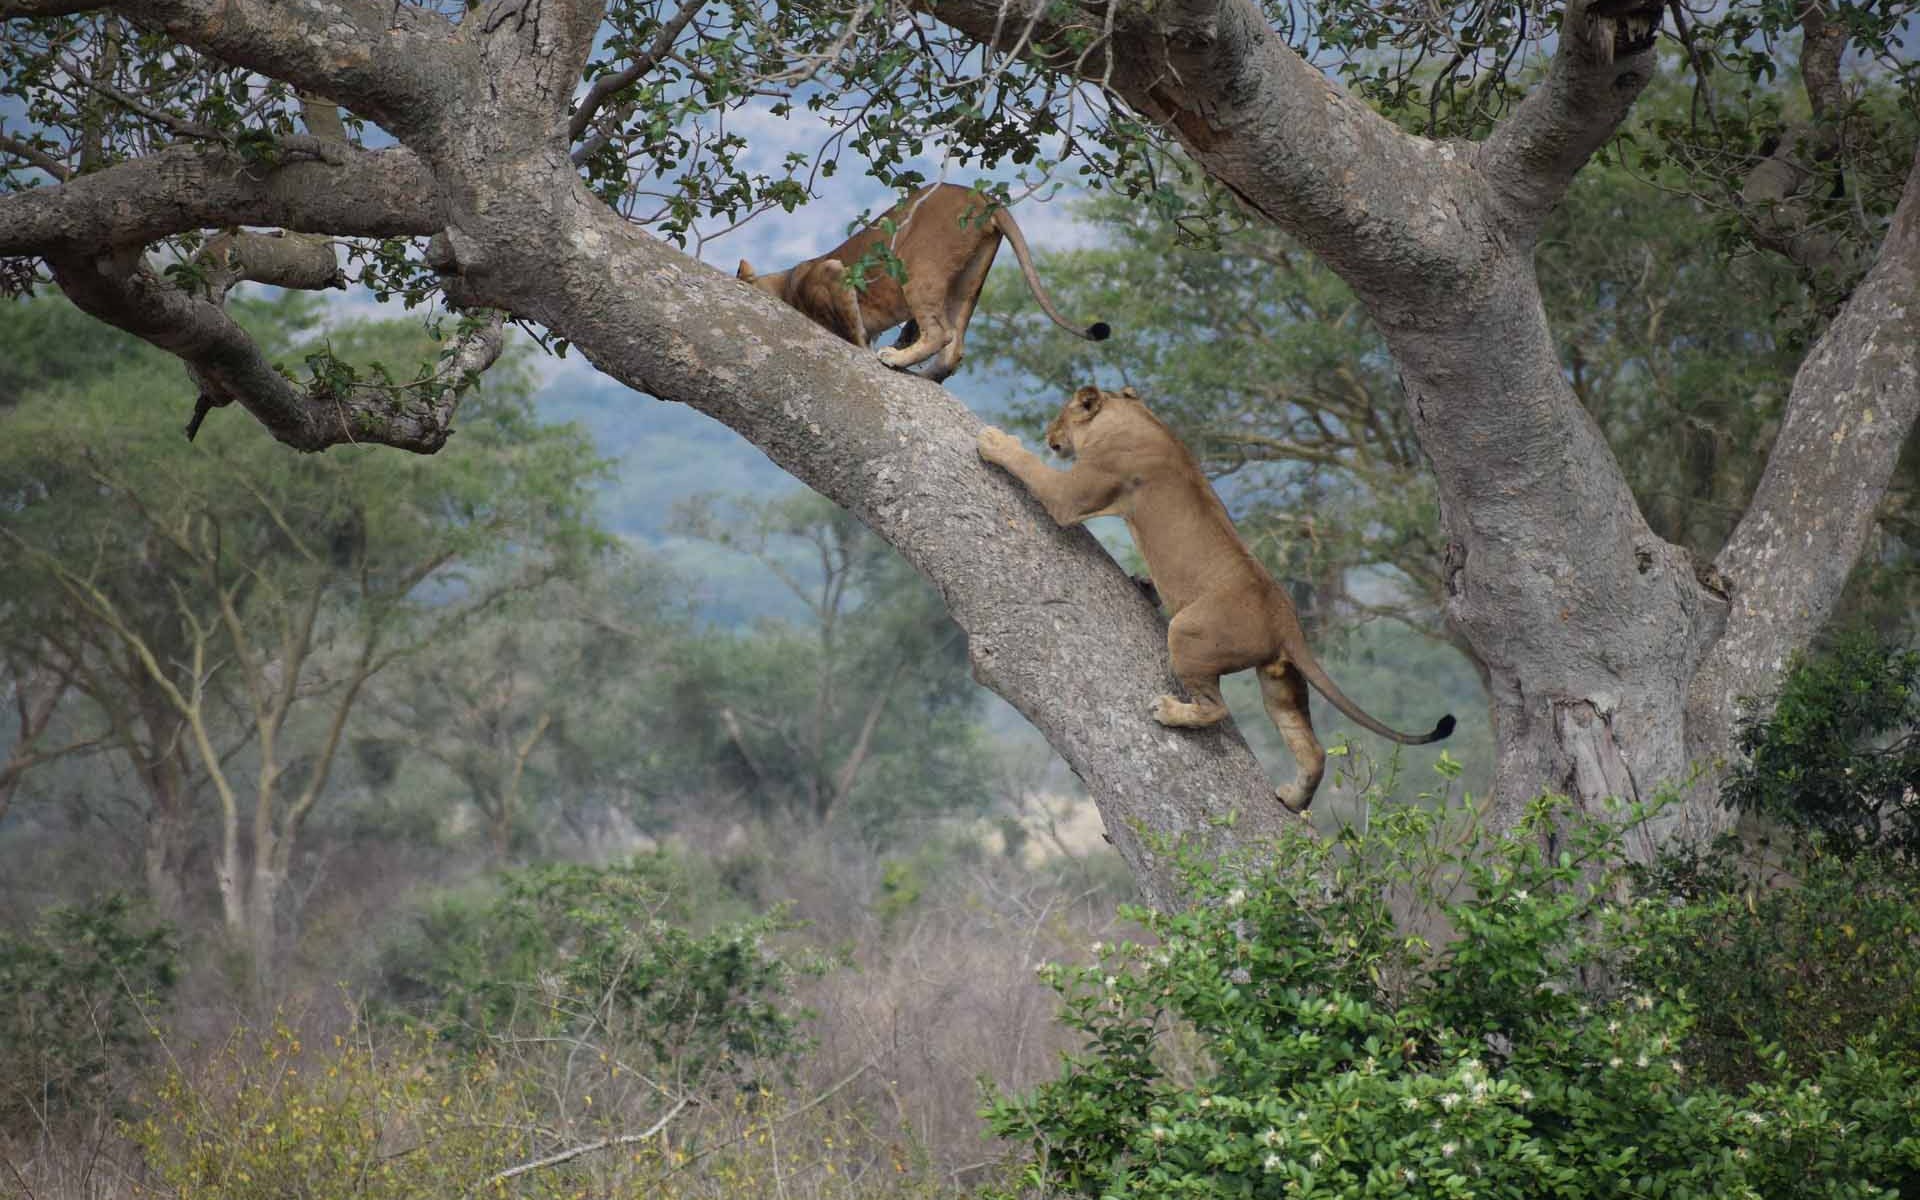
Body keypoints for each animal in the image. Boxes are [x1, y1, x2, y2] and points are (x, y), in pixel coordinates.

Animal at [733, 181, 1113, 384]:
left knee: (940, 333)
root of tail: (980, 196)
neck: (786, 281)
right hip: (968, 279)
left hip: (918, 267)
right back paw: (926, 372)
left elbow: (853, 331)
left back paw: (896, 359)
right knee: (954, 347)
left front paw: (869, 348)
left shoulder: (832, 272)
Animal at [975, 384, 1451, 814]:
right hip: (1280, 681)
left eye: (1061, 415)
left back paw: (1170, 710)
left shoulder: (1073, 496)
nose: (1048, 434)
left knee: (1217, 709)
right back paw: (1293, 798)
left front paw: (994, 441)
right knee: (1310, 747)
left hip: (1187, 633)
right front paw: (1143, 583)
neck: (1132, 416)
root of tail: (1286, 621)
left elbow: (1031, 468)